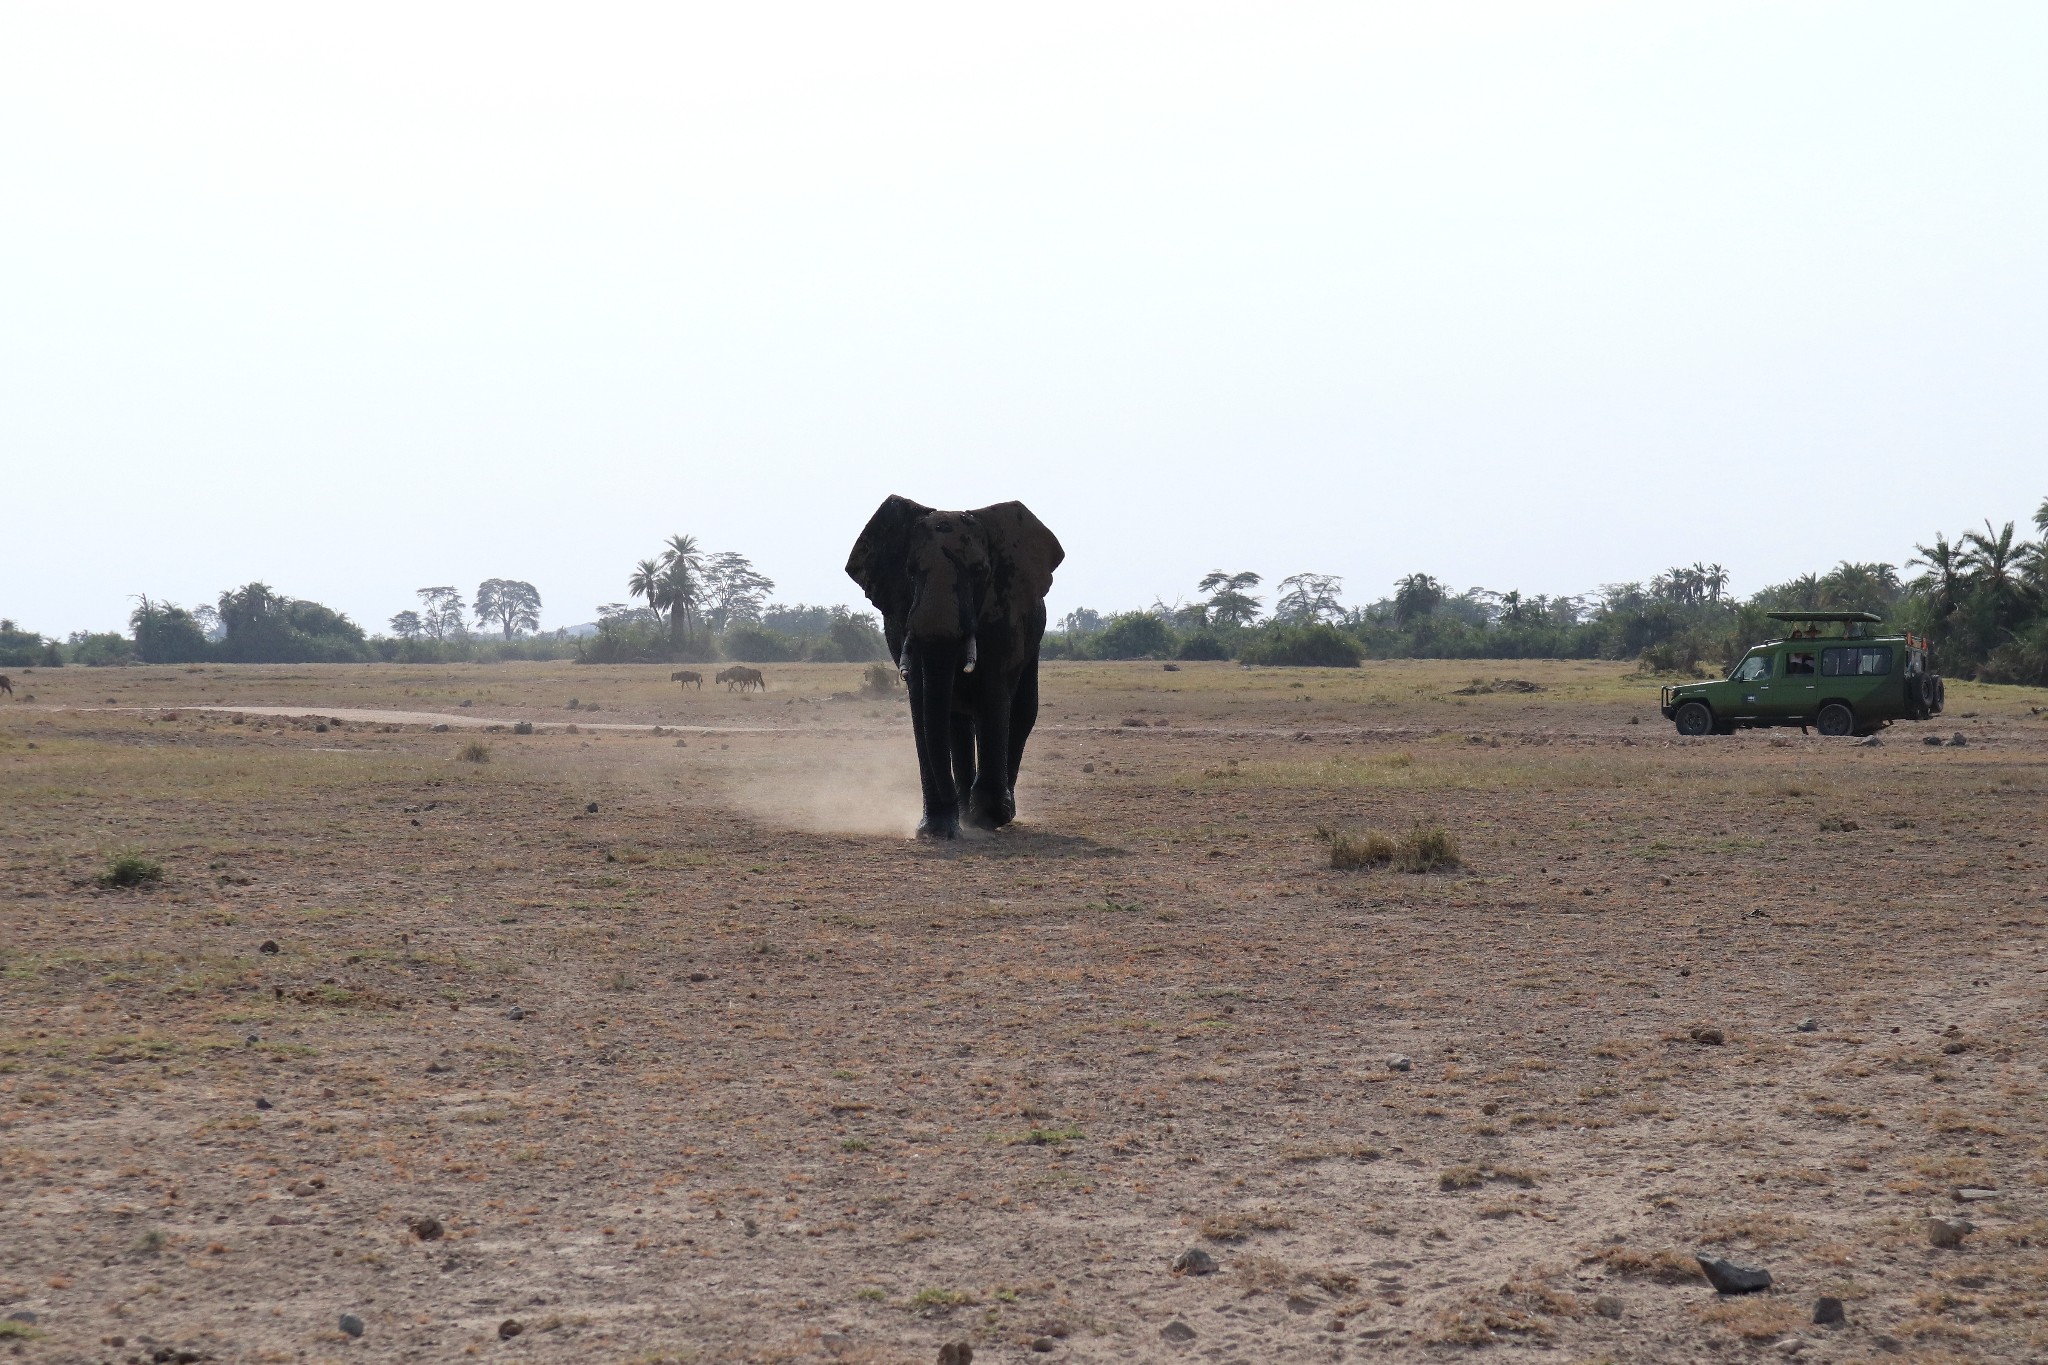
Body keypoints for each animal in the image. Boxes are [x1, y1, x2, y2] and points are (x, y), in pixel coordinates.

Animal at [851, 497, 1073, 839]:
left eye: (980, 572)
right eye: (911, 573)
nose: (950, 804)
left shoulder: (1003, 614)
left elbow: (993, 694)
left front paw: (989, 817)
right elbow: (922, 699)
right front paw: (937, 830)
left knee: (1021, 712)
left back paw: (994, 811)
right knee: (956, 721)